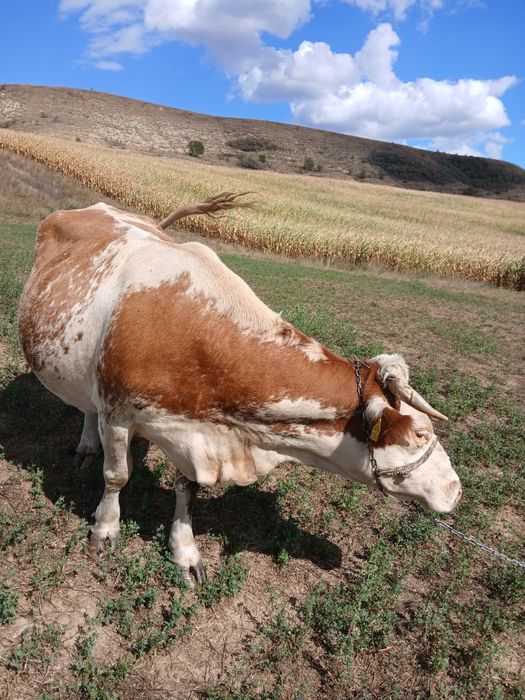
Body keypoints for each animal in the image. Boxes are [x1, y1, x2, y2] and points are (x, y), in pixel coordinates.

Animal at [19, 194, 461, 584]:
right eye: (421, 433)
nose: (456, 490)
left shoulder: (192, 430)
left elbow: (187, 489)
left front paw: (184, 551)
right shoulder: (117, 412)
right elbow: (116, 476)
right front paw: (105, 530)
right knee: (88, 411)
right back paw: (87, 446)